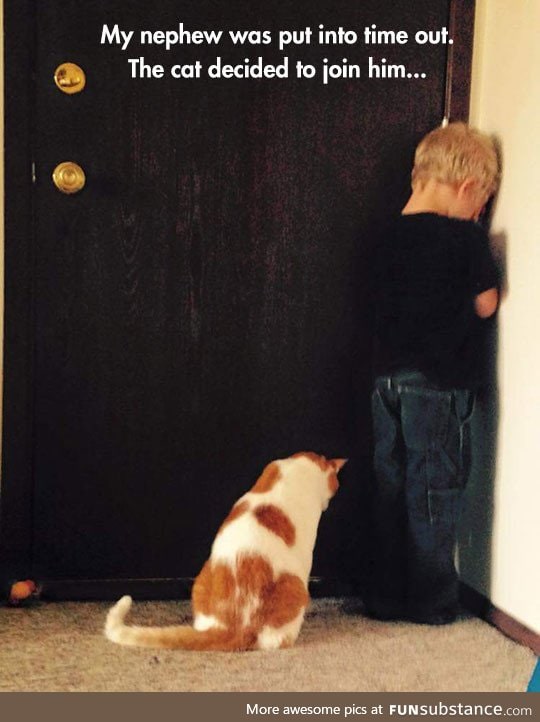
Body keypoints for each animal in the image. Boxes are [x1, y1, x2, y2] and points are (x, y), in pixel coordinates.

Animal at [103, 450, 344, 648]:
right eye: (335, 484)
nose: (328, 502)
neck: (298, 470)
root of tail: (232, 627)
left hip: (201, 580)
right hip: (296, 587)